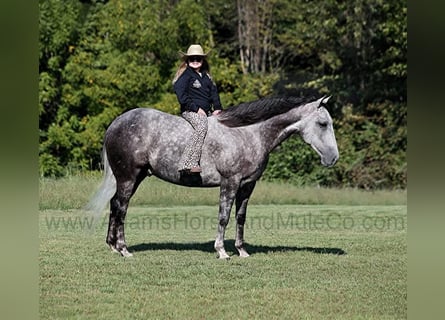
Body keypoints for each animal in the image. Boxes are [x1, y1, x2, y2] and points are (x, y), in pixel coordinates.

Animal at [86, 95, 338, 258]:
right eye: (322, 123)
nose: (333, 158)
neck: (247, 133)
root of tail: (115, 124)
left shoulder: (248, 185)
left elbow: (240, 218)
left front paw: (242, 251)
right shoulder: (230, 182)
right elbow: (223, 217)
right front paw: (222, 251)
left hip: (134, 177)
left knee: (115, 205)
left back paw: (113, 246)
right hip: (128, 178)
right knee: (121, 207)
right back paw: (123, 249)